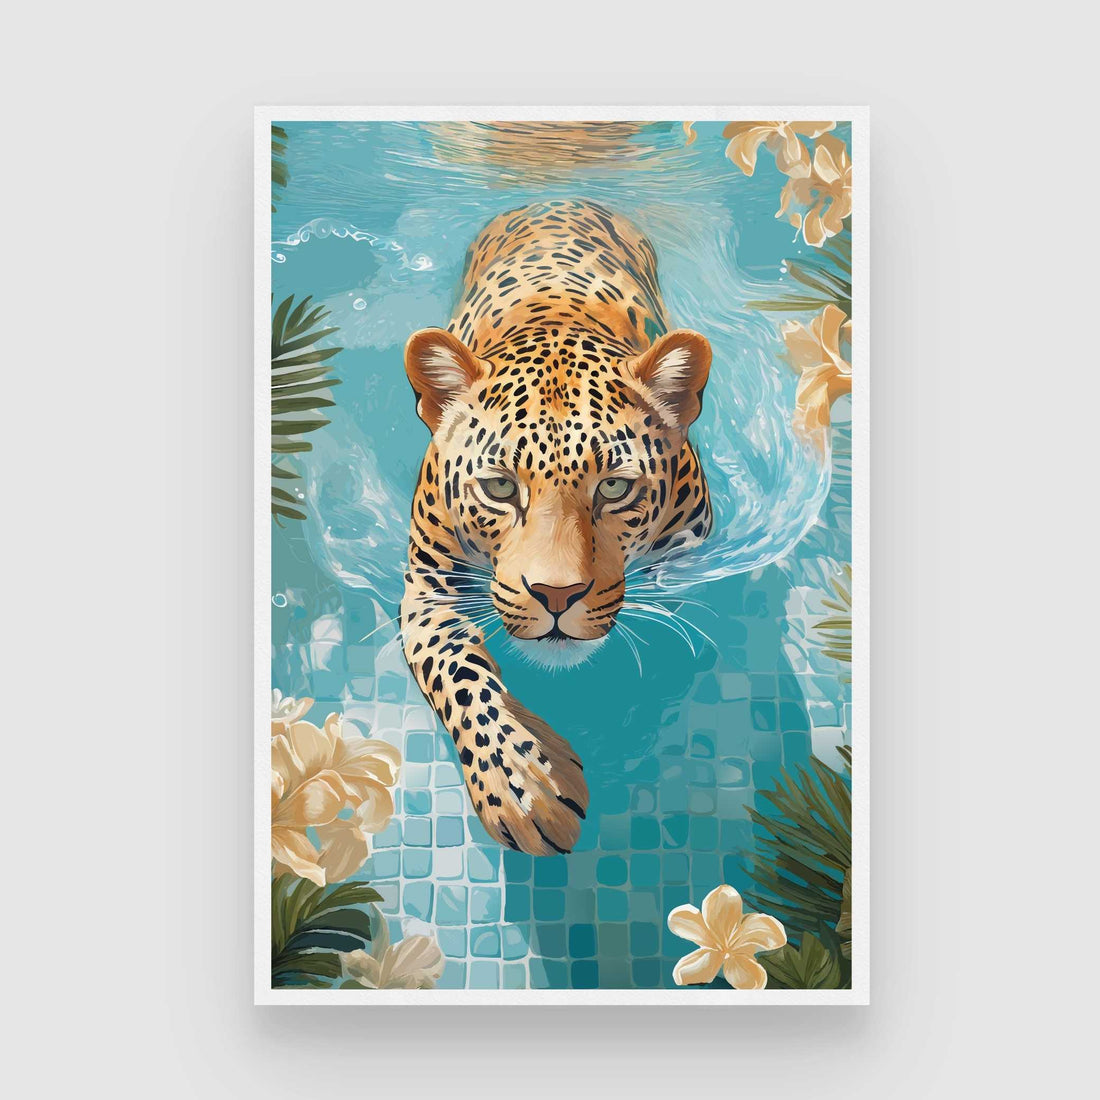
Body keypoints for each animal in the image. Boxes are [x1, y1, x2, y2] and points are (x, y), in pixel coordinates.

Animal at [400, 199, 713, 856]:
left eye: (614, 487)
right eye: (499, 487)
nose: (556, 595)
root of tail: (557, 197)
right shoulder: (426, 589)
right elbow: (455, 668)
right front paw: (523, 784)